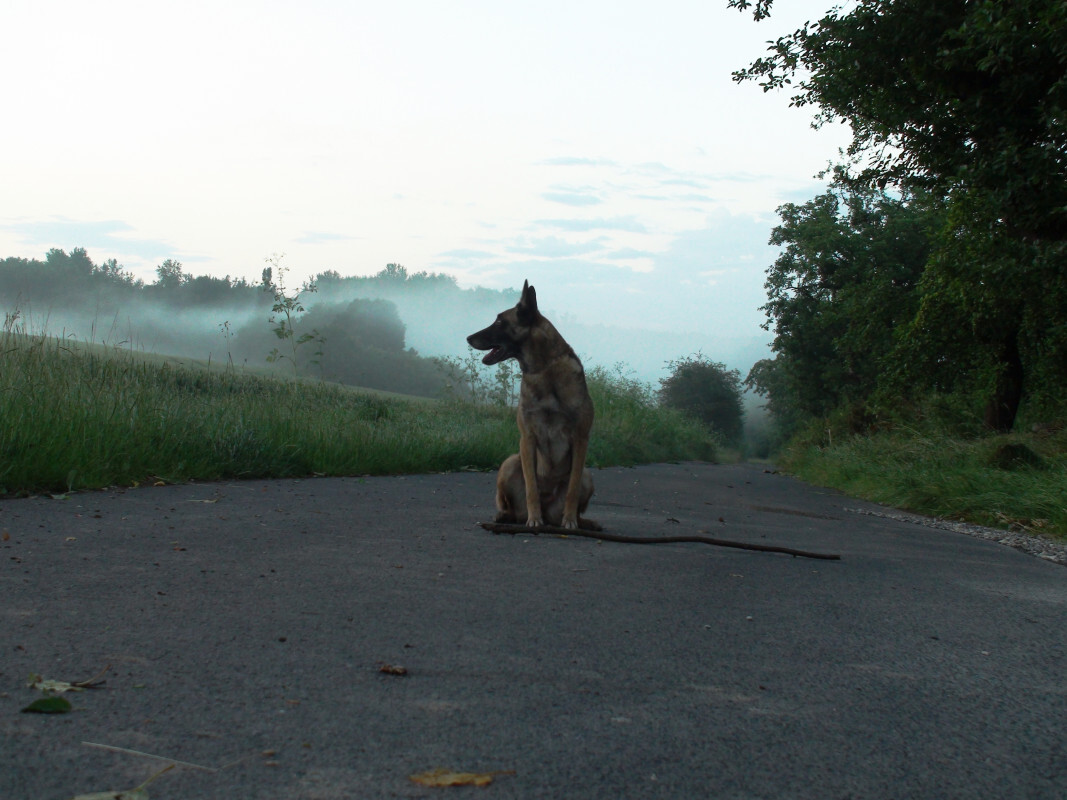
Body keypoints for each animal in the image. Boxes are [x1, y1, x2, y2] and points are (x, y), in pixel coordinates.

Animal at [467, 281, 601, 533]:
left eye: (499, 322)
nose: (468, 338)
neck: (543, 369)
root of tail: (550, 511)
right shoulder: (527, 437)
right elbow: (531, 487)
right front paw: (534, 519)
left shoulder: (581, 439)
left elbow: (572, 488)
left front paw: (570, 520)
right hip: (510, 462)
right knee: (511, 505)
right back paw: (508, 517)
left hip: (588, 475)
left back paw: (581, 521)